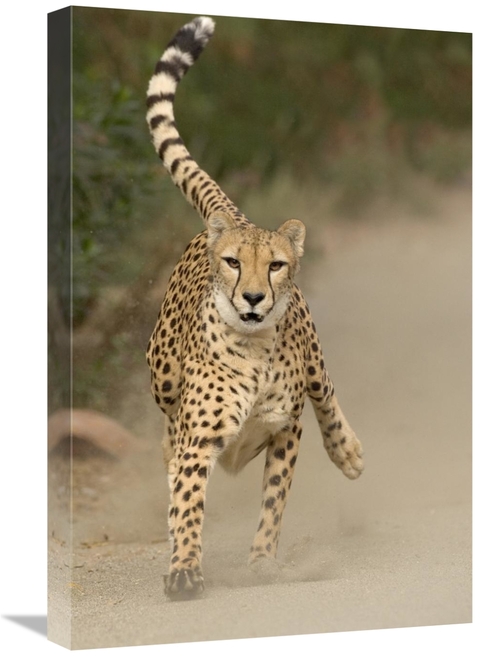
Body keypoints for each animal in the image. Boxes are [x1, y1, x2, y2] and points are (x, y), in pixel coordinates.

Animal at [145, 16, 364, 598]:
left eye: (276, 266)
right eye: (233, 263)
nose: (252, 297)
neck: (256, 347)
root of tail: (235, 216)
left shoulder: (285, 430)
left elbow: (273, 504)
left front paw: (263, 561)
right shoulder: (199, 442)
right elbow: (188, 502)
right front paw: (185, 567)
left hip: (313, 360)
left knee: (327, 391)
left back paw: (348, 450)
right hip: (162, 379)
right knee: (169, 450)